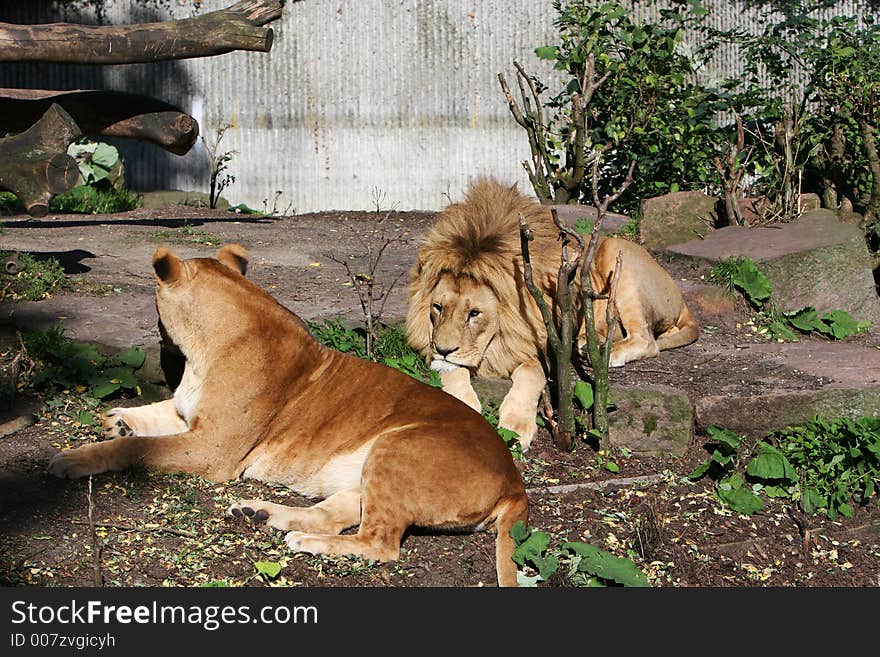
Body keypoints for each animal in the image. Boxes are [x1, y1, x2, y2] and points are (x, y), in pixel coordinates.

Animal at [48, 243, 524, 588]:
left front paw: (74, 458)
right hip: (368, 473)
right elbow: (152, 414)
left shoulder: (211, 451)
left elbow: (136, 449)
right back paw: (259, 514)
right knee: (341, 513)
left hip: (397, 444)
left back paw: (302, 539)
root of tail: (514, 481)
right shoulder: (192, 420)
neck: (203, 350)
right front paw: (116, 420)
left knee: (381, 543)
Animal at [408, 178, 700, 452]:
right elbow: (450, 370)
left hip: (621, 260)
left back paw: (606, 352)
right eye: (437, 308)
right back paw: (588, 343)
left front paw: (516, 427)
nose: (443, 349)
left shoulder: (544, 348)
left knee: (647, 340)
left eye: (474, 313)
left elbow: (531, 374)